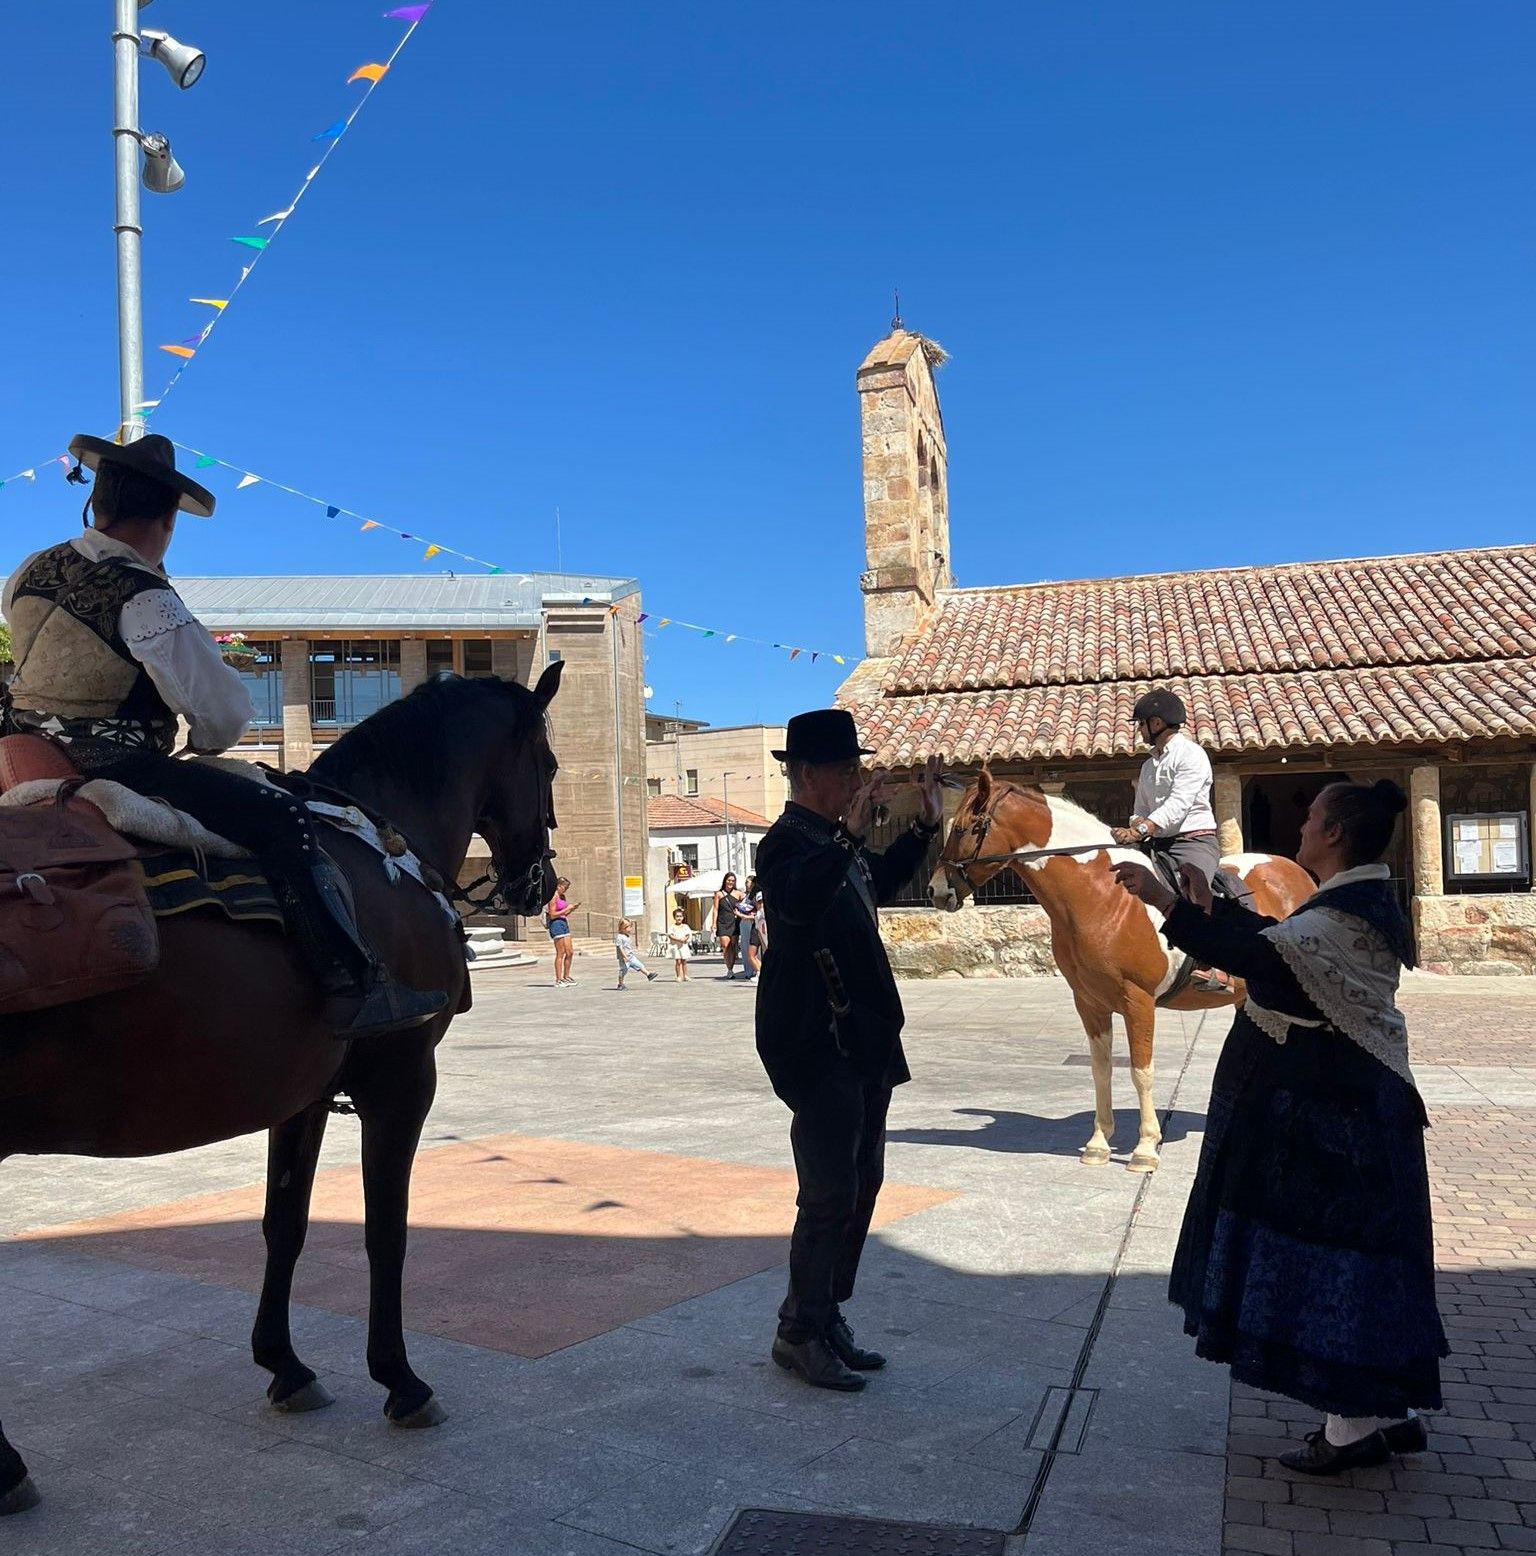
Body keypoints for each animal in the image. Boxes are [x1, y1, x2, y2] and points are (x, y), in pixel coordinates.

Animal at [0, 662, 563, 1512]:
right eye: (551, 766)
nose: (538, 885)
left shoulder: (302, 1096)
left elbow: (285, 1225)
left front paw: (285, 1366)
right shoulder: (403, 1079)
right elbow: (386, 1230)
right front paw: (400, 1379)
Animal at [927, 771, 1307, 1170]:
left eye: (964, 828)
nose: (937, 890)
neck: (1103, 894)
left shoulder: (1137, 1001)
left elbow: (1141, 1071)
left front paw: (1145, 1148)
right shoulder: (1089, 1002)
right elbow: (1102, 1069)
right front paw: (1098, 1144)